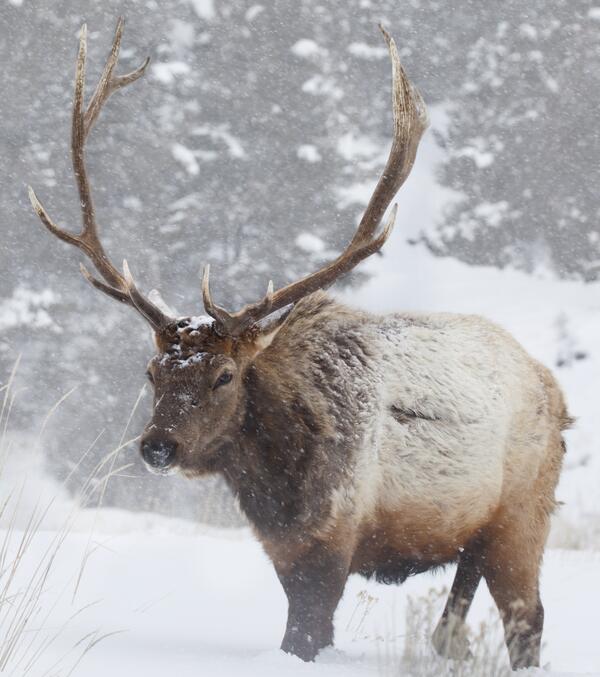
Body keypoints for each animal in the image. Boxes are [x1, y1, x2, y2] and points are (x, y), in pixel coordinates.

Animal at [29, 19, 570, 670]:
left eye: (225, 375)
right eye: (151, 371)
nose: (157, 446)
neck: (275, 484)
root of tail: (555, 390)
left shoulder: (332, 540)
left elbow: (305, 639)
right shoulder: (284, 549)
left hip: (525, 512)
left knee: (527, 620)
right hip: (476, 532)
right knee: (455, 617)